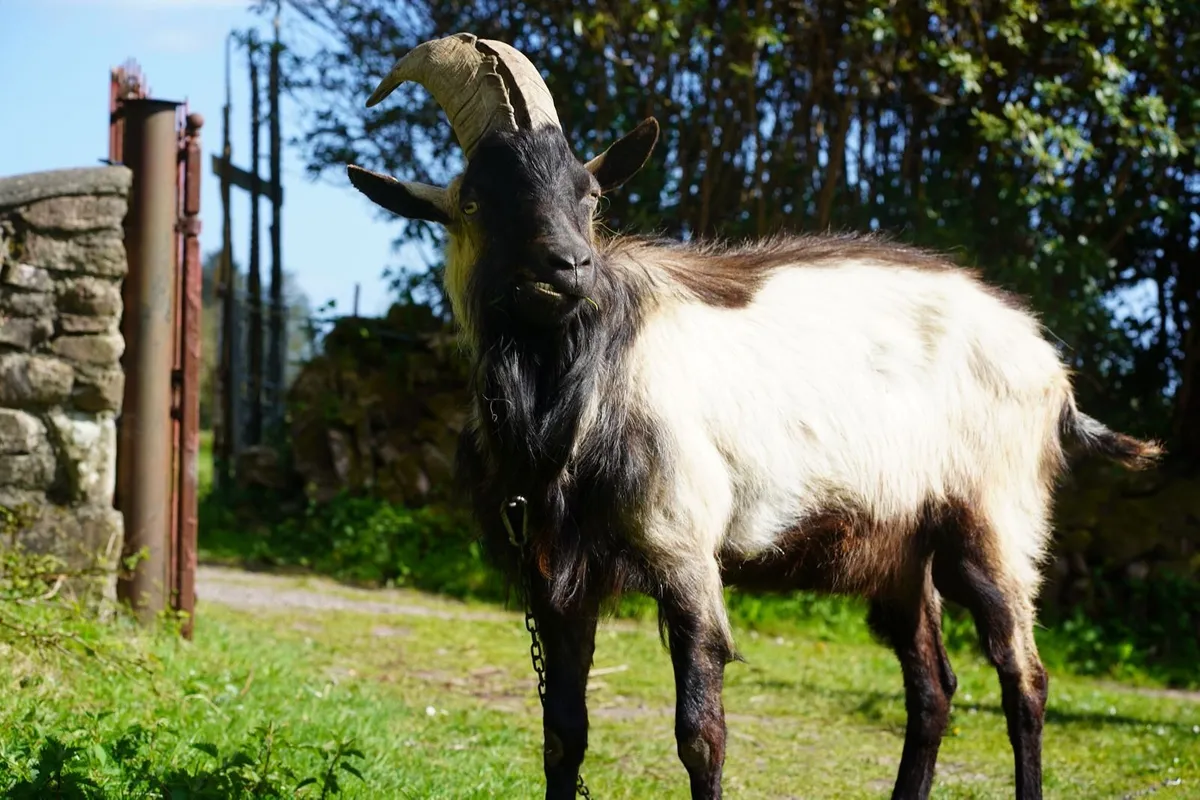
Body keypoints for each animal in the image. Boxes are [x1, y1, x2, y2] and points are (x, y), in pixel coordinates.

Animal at [348, 33, 1163, 800]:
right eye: (476, 202)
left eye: (588, 195)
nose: (570, 266)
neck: (576, 393)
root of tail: (1051, 371)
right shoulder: (555, 577)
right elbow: (562, 736)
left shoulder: (683, 548)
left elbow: (700, 733)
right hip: (901, 553)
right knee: (933, 689)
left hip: (995, 524)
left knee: (1024, 679)